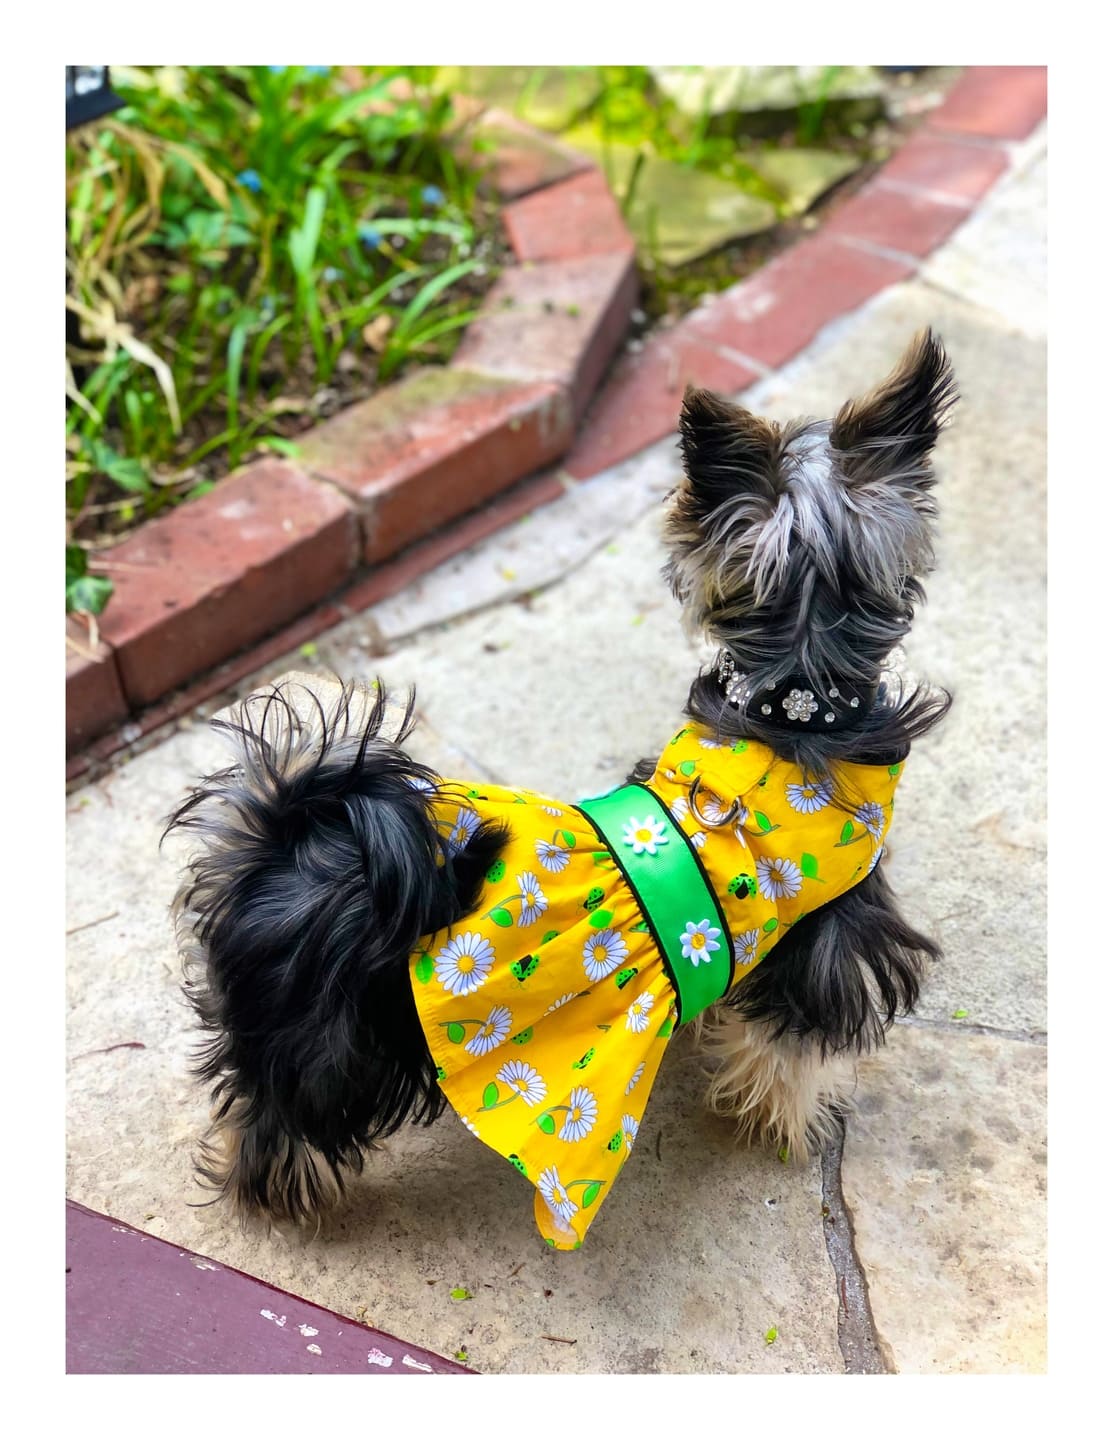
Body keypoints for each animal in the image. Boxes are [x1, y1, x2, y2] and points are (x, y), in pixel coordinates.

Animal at [167, 326, 956, 1249]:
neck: (796, 700)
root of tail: (280, 848)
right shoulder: (826, 945)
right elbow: (788, 1054)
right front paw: (791, 1122)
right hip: (333, 1049)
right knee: (283, 1128)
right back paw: (289, 1204)